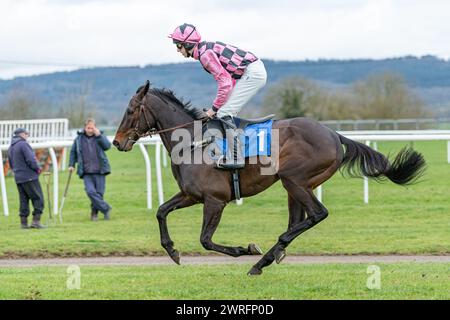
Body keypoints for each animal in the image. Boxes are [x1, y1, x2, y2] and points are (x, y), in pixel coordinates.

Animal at [112, 81, 426, 276]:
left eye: (130, 111)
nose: (116, 142)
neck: (193, 142)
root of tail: (334, 134)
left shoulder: (215, 200)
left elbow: (206, 240)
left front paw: (244, 248)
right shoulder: (191, 195)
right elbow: (161, 211)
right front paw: (172, 251)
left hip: (293, 179)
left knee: (316, 214)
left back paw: (264, 256)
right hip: (298, 186)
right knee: (299, 220)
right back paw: (269, 258)